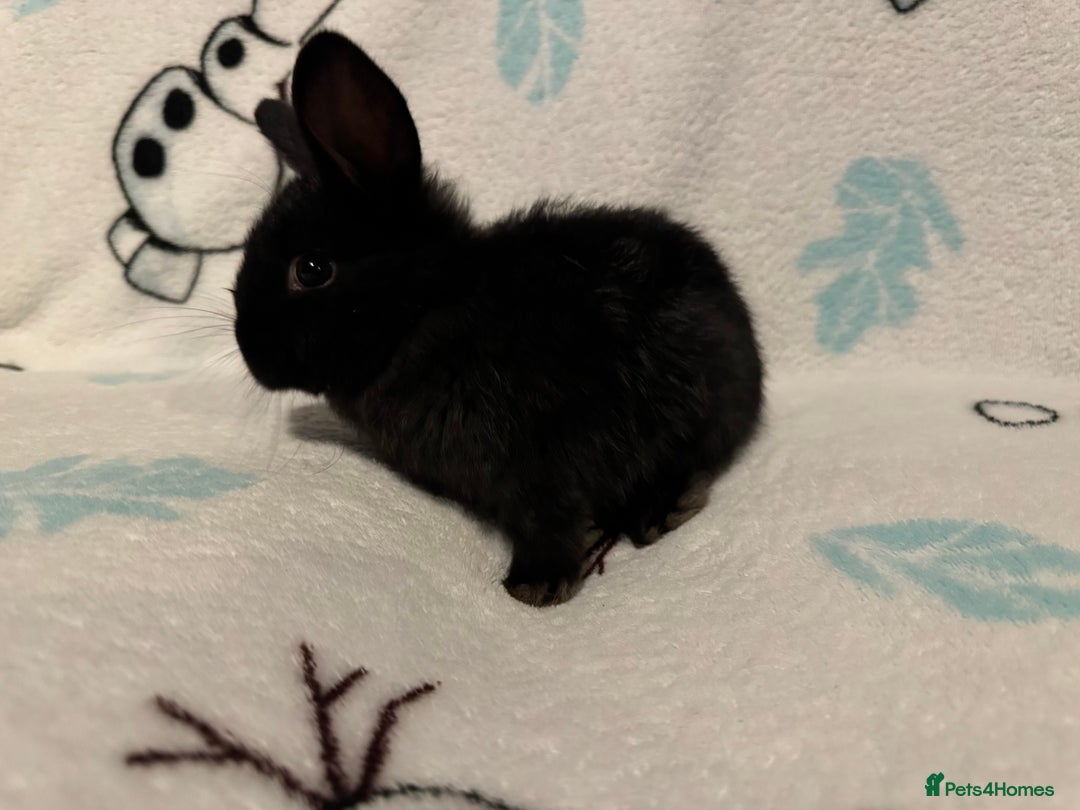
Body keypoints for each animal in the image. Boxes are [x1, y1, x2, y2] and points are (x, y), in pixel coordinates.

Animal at [233, 31, 764, 607]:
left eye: (311, 269)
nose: (251, 356)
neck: (425, 312)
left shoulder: (541, 461)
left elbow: (546, 519)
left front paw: (534, 585)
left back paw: (659, 509)